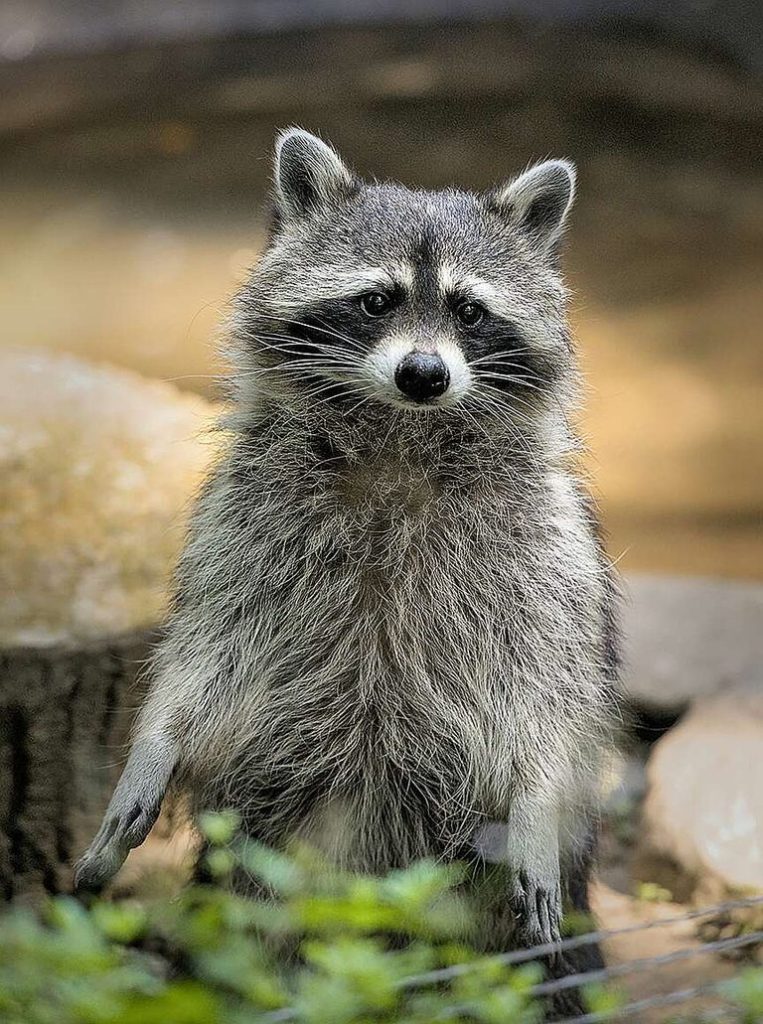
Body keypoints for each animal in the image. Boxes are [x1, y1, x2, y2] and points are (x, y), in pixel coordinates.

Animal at [76, 129, 622, 1008]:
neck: (399, 435)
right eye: (376, 301)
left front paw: (537, 800)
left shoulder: (544, 547)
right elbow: (207, 646)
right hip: (266, 871)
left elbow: (548, 688)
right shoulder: (242, 518)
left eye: (469, 311)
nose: (424, 375)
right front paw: (154, 742)